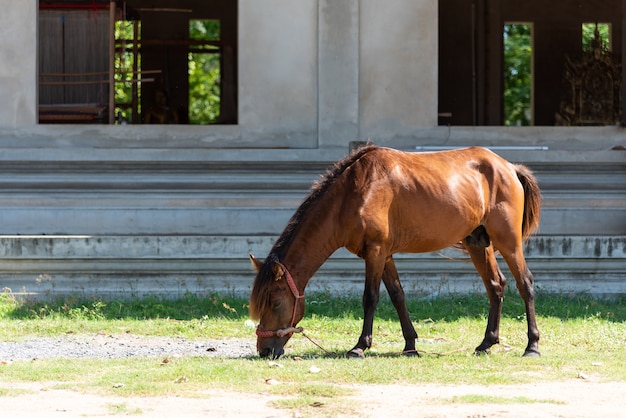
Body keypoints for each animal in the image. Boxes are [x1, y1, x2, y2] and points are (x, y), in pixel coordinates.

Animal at [246, 145, 540, 360]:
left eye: (275, 303)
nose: (265, 351)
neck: (352, 194)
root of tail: (509, 168)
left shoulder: (375, 251)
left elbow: (371, 298)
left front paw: (359, 347)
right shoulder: (384, 254)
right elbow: (398, 296)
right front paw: (410, 345)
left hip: (508, 241)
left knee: (524, 283)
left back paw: (532, 346)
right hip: (478, 243)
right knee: (496, 286)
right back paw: (486, 343)